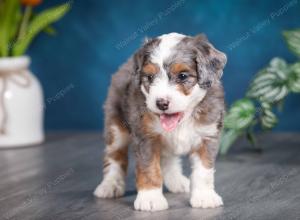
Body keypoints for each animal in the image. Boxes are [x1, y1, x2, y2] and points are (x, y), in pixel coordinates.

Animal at [95, 32, 226, 211]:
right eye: (150, 77)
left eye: (183, 76)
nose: (161, 103)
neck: (182, 121)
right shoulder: (146, 137)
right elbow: (149, 168)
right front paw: (151, 198)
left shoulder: (207, 136)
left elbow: (204, 170)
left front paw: (204, 197)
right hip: (116, 127)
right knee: (115, 156)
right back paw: (110, 185)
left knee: (168, 160)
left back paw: (176, 181)